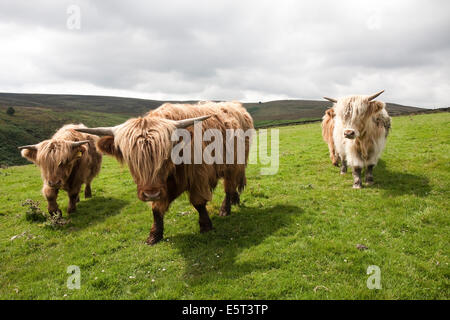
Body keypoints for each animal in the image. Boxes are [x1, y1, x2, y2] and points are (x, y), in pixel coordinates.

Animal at [76, 101, 253, 244]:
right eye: (130, 158)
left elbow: (198, 203)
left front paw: (205, 226)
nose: (151, 194)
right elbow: (156, 209)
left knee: (229, 186)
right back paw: (235, 200)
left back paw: (225, 209)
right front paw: (154, 235)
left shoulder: (198, 177)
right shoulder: (161, 187)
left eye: (165, 155)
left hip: (234, 164)